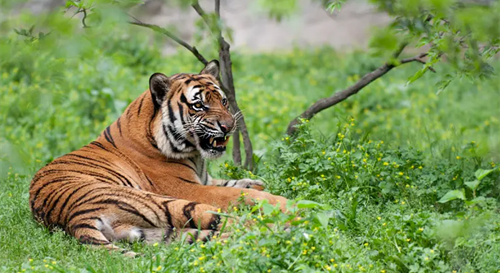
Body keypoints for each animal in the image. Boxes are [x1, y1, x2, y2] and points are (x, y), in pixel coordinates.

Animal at [29, 60, 290, 255]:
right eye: (199, 106)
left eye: (224, 101)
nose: (228, 127)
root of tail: (72, 217)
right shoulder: (189, 188)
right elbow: (237, 194)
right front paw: (275, 199)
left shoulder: (204, 179)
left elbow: (238, 183)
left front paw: (256, 182)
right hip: (167, 202)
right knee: (234, 222)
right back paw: (288, 220)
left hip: (153, 232)